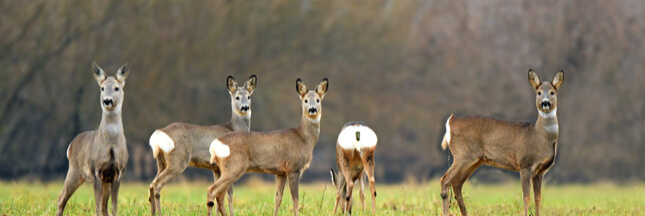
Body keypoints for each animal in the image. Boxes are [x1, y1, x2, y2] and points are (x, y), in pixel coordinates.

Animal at [56, 62, 130, 216]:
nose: (107, 100)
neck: (111, 144)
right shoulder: (96, 170)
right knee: (61, 198)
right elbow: (97, 206)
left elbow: (113, 207)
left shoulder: (118, 172)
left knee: (104, 207)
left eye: (117, 88)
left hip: (101, 180)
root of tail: (70, 146)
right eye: (102, 88)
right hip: (74, 170)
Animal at [147, 75, 255, 215]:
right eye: (237, 97)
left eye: (248, 96)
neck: (234, 128)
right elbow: (229, 194)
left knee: (151, 184)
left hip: (161, 162)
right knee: (157, 185)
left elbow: (220, 194)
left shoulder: (216, 168)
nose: (245, 107)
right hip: (178, 160)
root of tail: (158, 134)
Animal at [206, 77, 328, 216]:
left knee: (220, 195)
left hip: (225, 169)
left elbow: (278, 198)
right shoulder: (293, 168)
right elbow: (295, 200)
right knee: (212, 190)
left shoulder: (281, 171)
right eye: (305, 100)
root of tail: (216, 143)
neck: (304, 138)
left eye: (318, 100)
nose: (312, 109)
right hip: (234, 166)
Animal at [440, 69, 560, 216]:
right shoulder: (525, 164)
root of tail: (451, 121)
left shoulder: (540, 171)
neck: (539, 136)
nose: (545, 103)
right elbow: (526, 197)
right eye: (539, 92)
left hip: (474, 160)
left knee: (456, 183)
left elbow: (538, 198)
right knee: (445, 180)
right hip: (462, 155)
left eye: (552, 92)